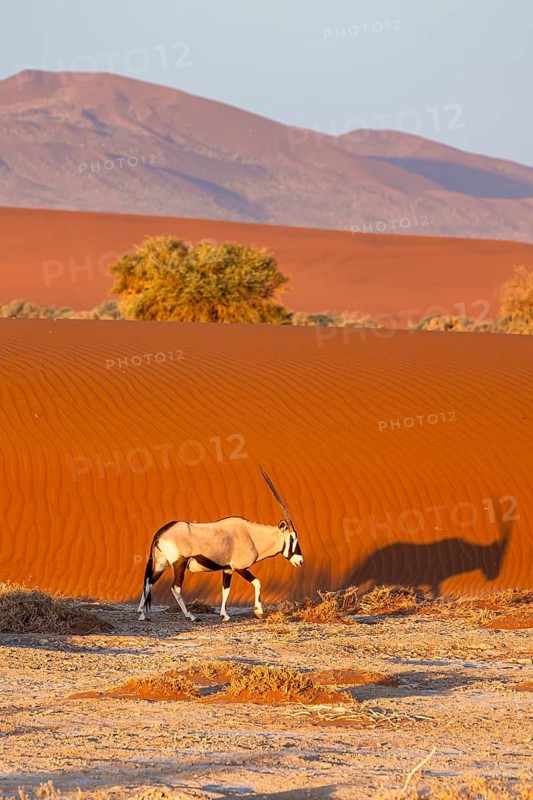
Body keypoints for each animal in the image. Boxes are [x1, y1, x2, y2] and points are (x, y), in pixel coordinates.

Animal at [137, 467, 303, 622]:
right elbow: (257, 582)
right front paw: (259, 611)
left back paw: (142, 614)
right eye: (291, 539)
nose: (300, 561)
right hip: (180, 564)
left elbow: (226, 590)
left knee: (149, 582)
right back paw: (191, 616)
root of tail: (160, 533)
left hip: (162, 564)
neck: (251, 535)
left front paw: (224, 615)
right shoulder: (240, 567)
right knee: (175, 588)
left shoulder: (228, 569)